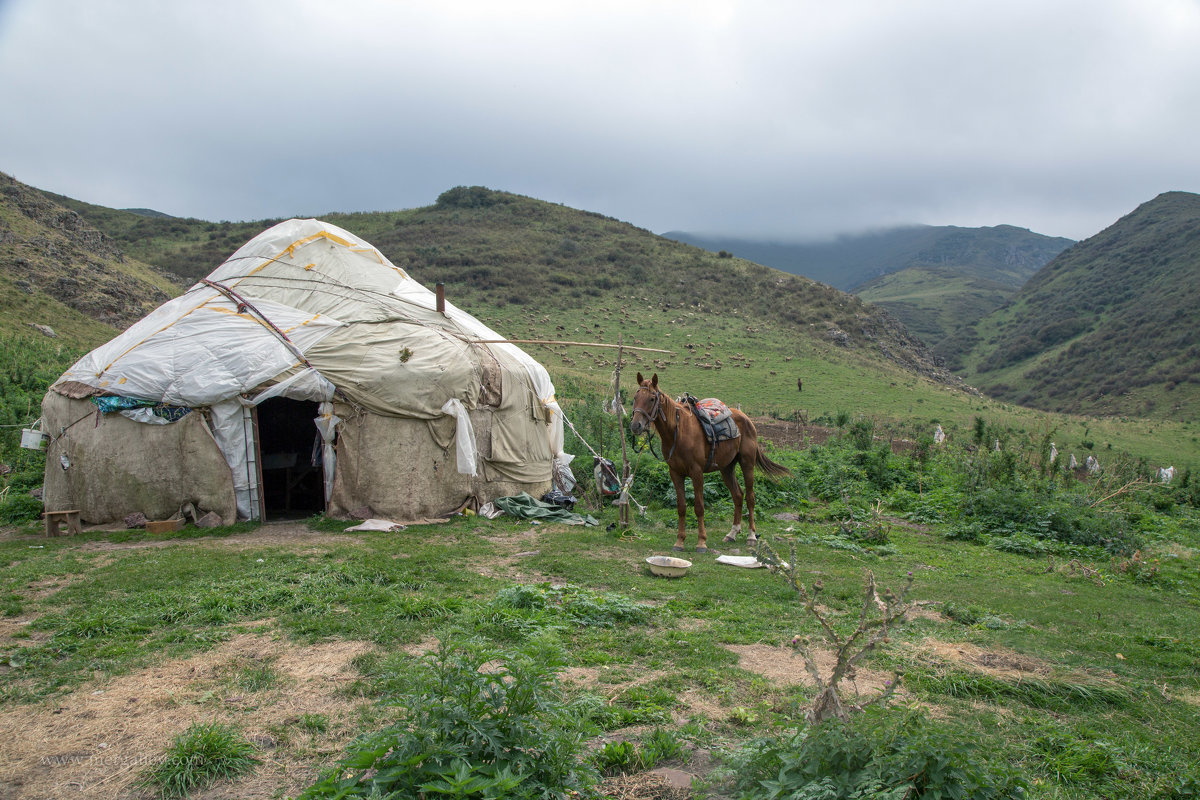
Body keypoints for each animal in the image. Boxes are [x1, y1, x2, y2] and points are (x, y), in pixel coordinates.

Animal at [628, 374, 787, 551]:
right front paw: (679, 541)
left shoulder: (697, 473)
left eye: (651, 398)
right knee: (738, 495)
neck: (678, 432)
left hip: (747, 464)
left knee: (750, 497)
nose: (635, 425)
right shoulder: (675, 473)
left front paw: (701, 542)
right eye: (635, 398)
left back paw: (751, 536)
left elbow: (699, 507)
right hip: (726, 468)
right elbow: (681, 507)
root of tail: (746, 419)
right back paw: (732, 533)